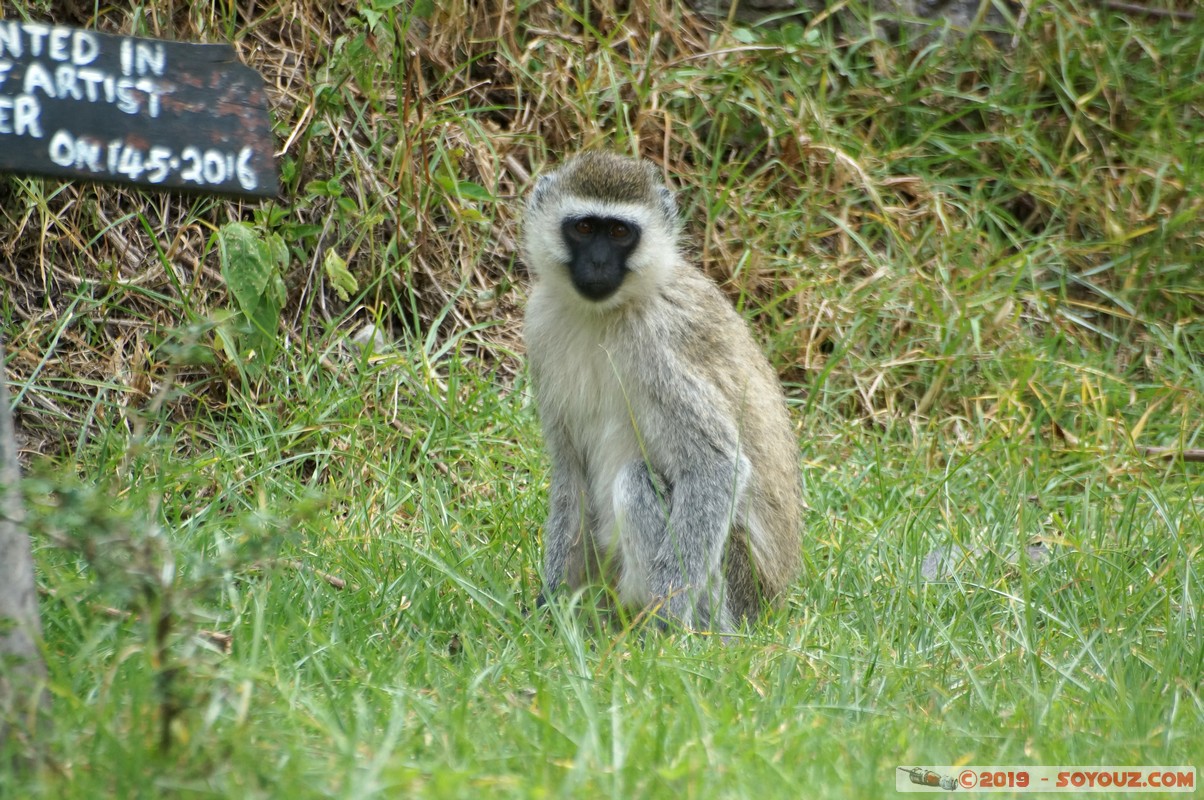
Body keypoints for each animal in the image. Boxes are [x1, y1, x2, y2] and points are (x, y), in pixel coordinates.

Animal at [524, 153, 799, 636]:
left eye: (619, 232)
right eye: (584, 228)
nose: (598, 264)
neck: (606, 316)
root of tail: (768, 607)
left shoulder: (662, 347)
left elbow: (715, 468)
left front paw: (667, 622)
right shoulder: (540, 330)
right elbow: (570, 476)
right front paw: (549, 607)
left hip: (733, 588)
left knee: (639, 480)